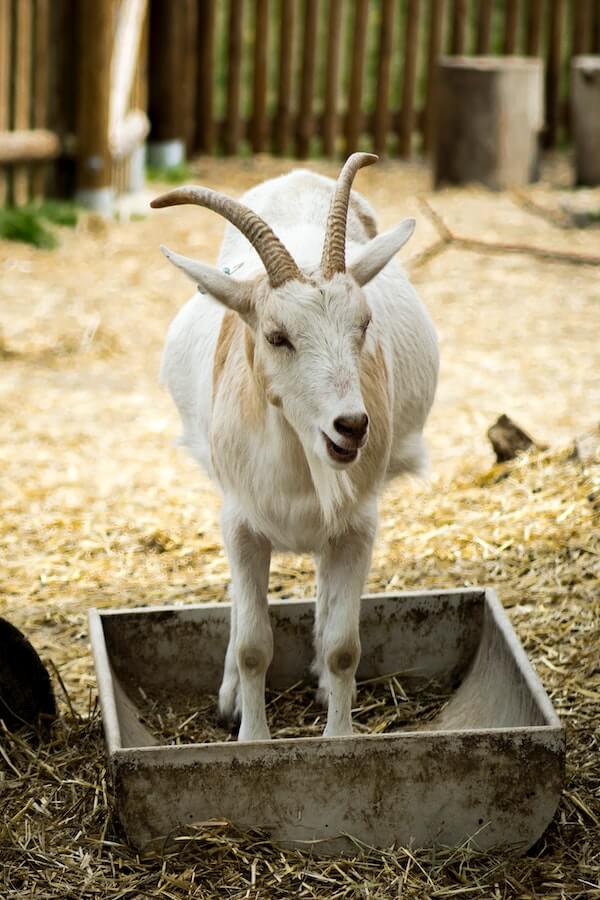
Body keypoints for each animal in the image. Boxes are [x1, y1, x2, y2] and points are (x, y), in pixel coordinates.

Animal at [152, 153, 438, 741]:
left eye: (364, 324)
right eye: (277, 336)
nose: (351, 426)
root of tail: (299, 177)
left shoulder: (357, 527)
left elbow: (344, 648)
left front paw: (338, 738)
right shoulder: (241, 524)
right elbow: (253, 646)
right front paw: (251, 738)